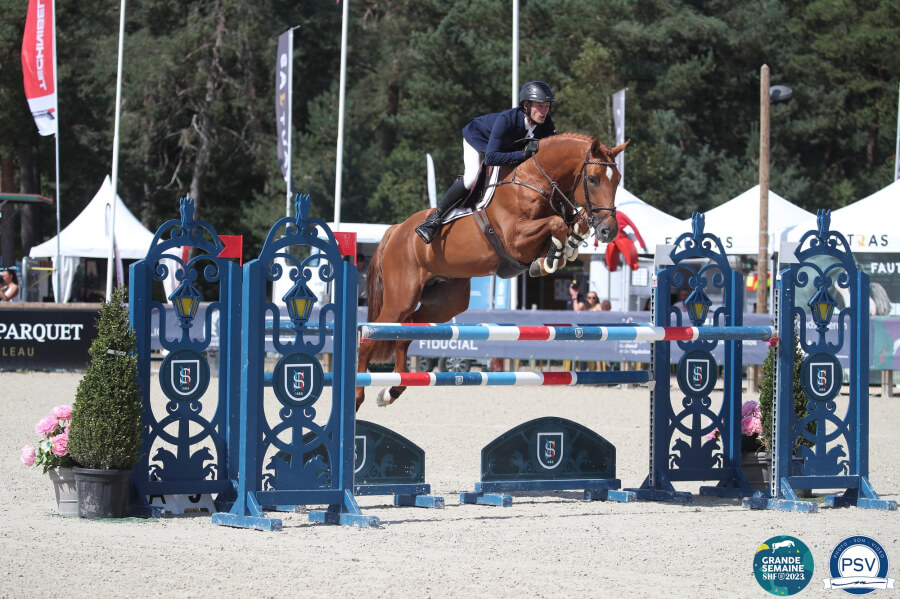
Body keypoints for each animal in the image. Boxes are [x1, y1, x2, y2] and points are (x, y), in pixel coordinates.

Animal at [357, 133, 628, 409]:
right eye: (593, 179)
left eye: (617, 180)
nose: (609, 231)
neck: (535, 181)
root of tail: (396, 230)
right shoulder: (515, 239)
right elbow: (557, 224)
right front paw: (553, 255)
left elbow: (568, 225)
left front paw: (564, 249)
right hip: (401, 298)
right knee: (369, 338)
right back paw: (358, 397)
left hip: (445, 302)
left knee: (408, 329)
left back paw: (391, 391)